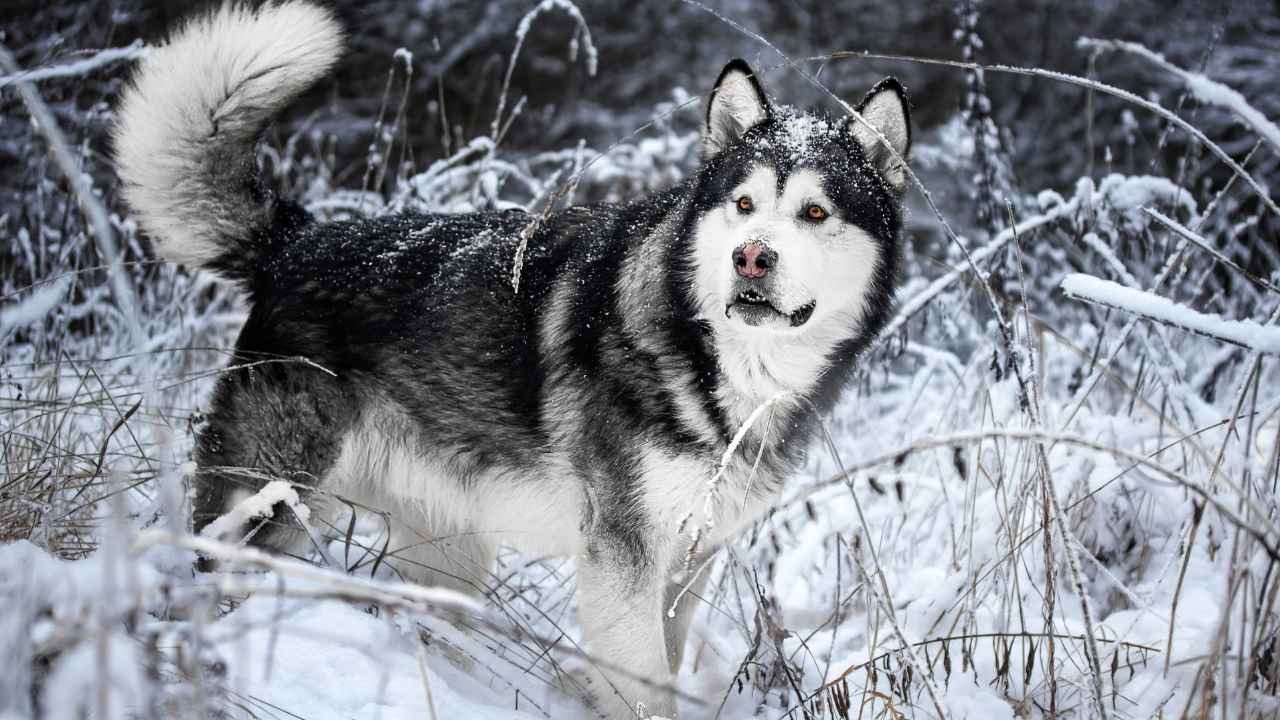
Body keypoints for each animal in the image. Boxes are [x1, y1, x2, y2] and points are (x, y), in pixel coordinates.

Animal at [112, 4, 911, 712]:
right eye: (743, 205)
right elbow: (644, 690)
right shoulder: (621, 559)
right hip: (267, 511)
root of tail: (297, 241)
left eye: (814, 212)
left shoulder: (688, 562)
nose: (751, 258)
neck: (722, 367)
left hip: (446, 555)